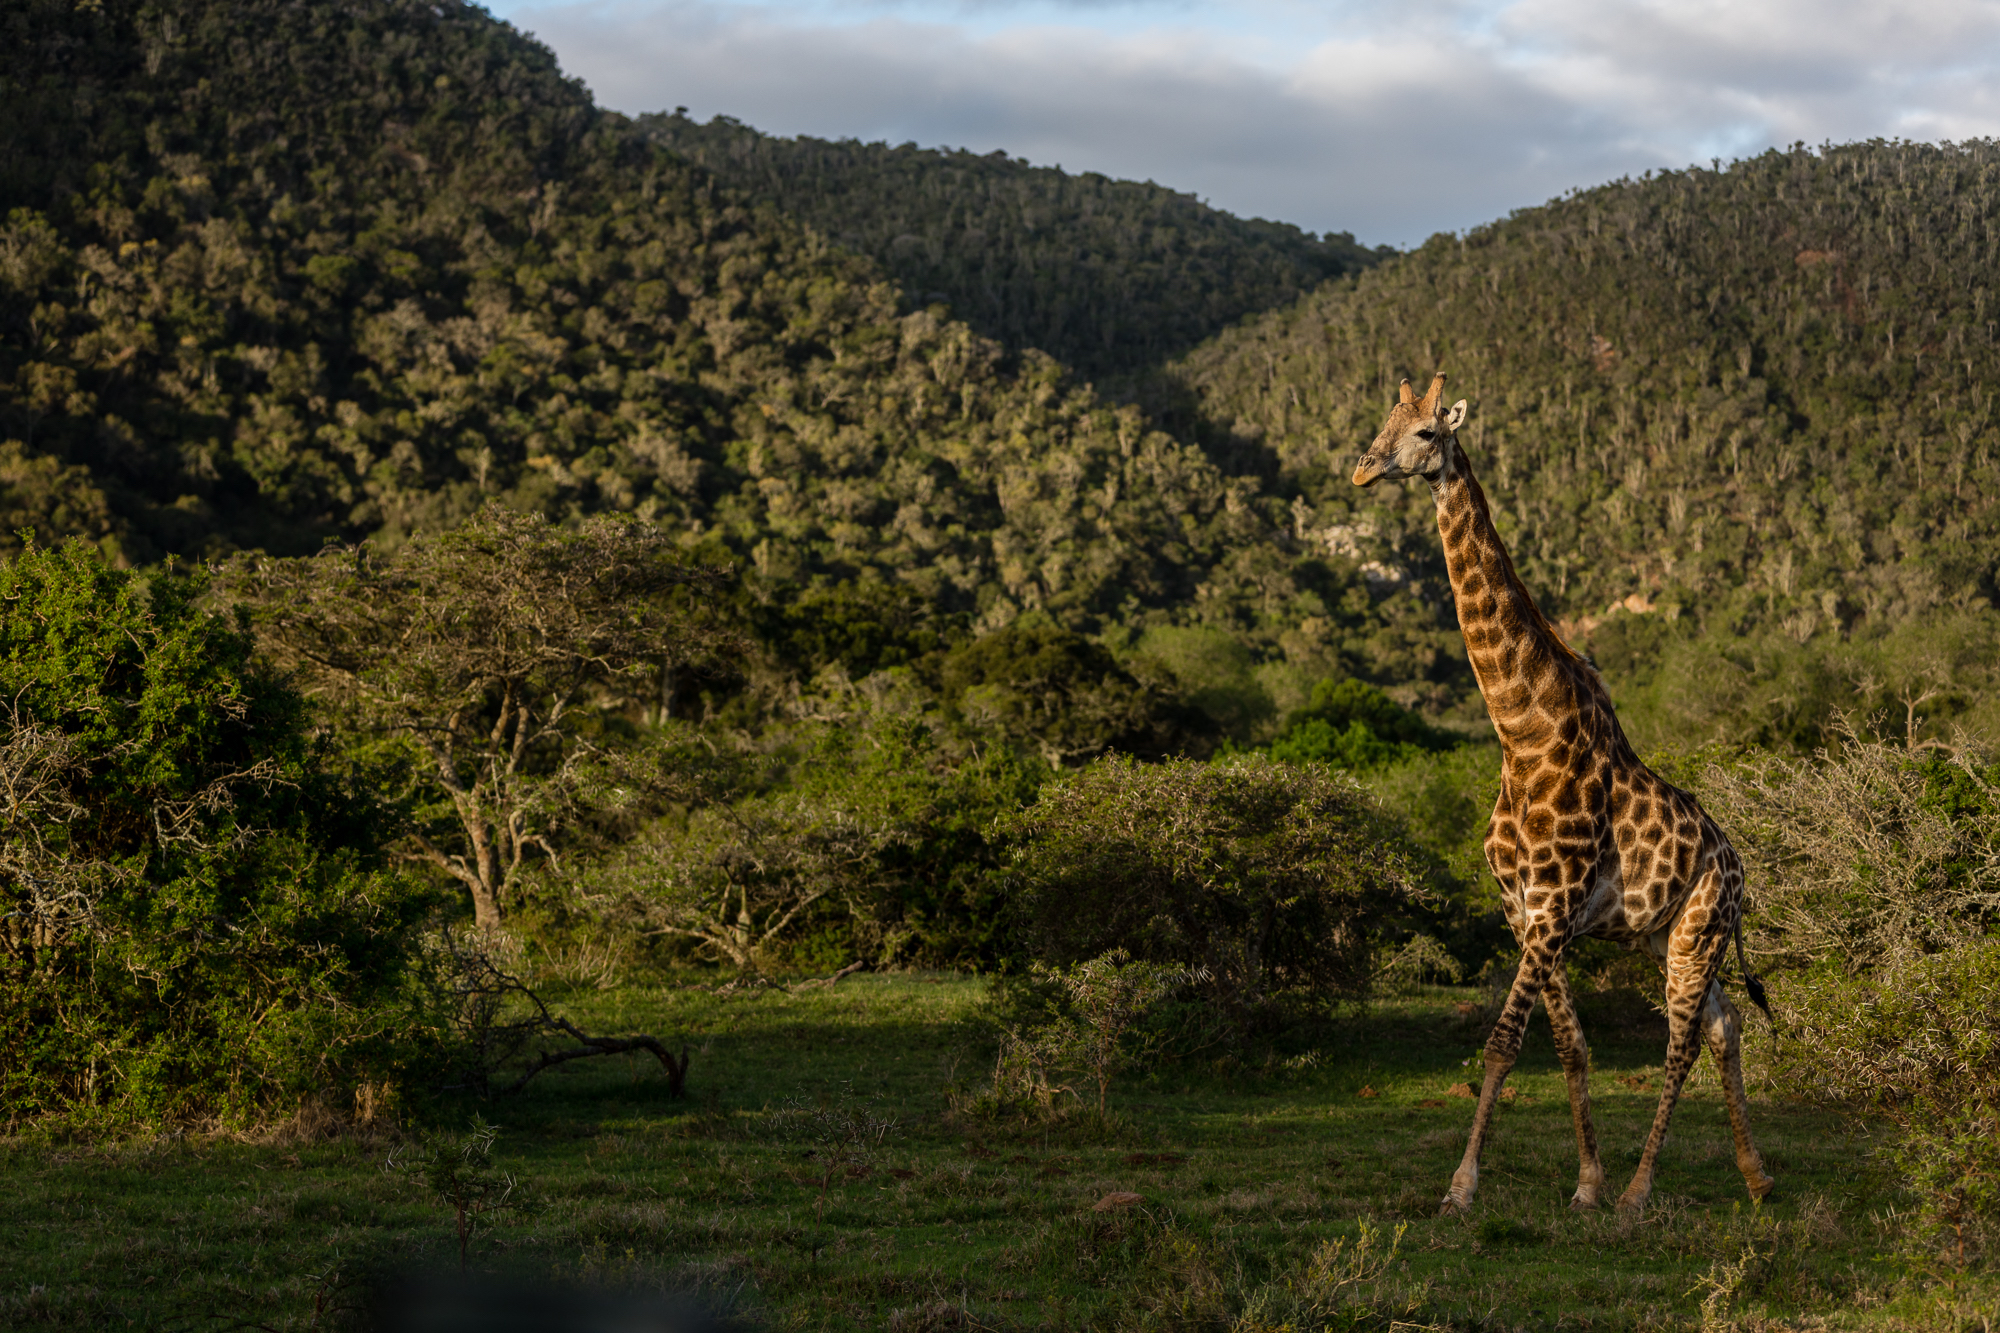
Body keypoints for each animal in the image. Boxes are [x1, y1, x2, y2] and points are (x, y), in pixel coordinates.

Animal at [1352, 370, 1776, 1216]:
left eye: (1425, 433)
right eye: (1383, 423)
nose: (1362, 470)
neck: (1523, 735)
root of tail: (1739, 864)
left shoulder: (1551, 911)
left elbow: (1526, 1042)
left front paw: (1483, 1185)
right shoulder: (1524, 911)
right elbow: (1549, 1043)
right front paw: (1567, 1181)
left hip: (1700, 931)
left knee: (1682, 1038)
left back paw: (1642, 1190)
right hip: (1671, 936)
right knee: (1725, 1025)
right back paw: (1755, 1175)